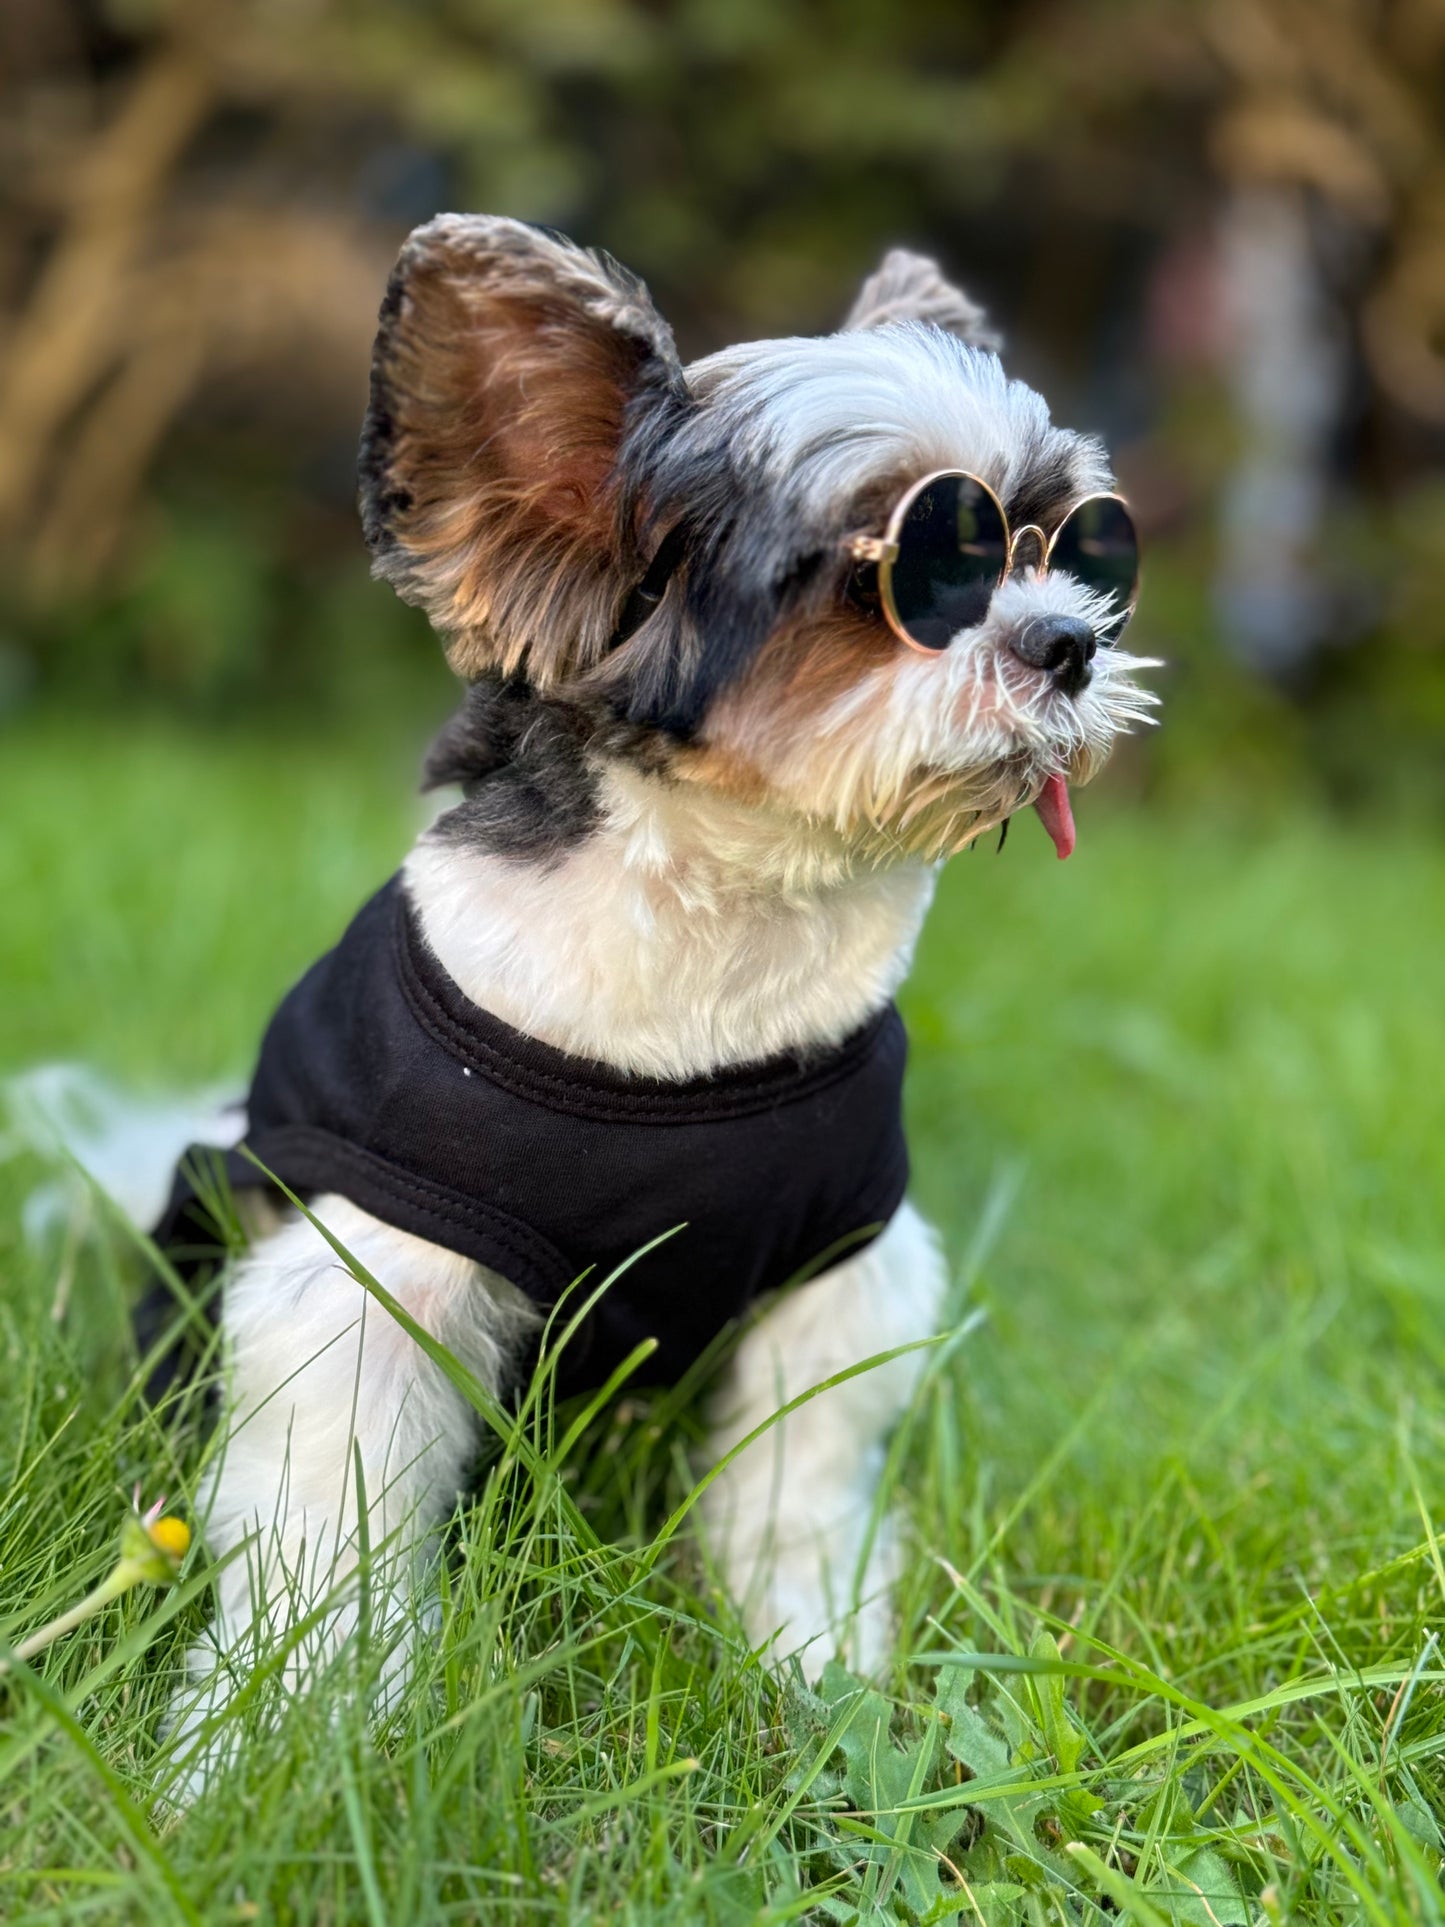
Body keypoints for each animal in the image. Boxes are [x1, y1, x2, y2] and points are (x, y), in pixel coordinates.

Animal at [150, 214, 1156, 1788]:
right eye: (924, 567)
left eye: (1078, 545)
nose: (1071, 641)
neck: (704, 968)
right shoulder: (372, 1281)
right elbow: (327, 1531)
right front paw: (277, 1734)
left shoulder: (835, 1279)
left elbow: (794, 1504)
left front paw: (812, 1667)